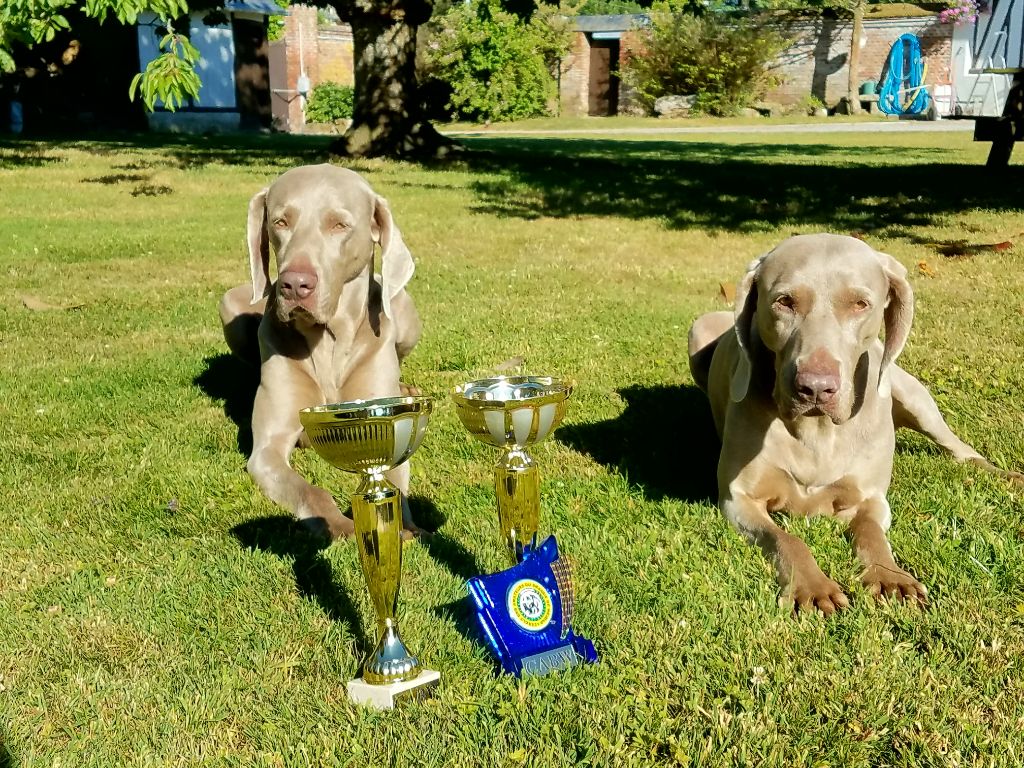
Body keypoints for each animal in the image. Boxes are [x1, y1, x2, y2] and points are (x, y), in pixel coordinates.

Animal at [218, 162, 421, 540]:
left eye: (339, 225)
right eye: (280, 222)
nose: (295, 285)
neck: (328, 340)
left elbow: (396, 485)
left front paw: (408, 530)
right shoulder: (266, 450)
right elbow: (310, 490)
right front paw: (338, 524)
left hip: (404, 309)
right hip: (231, 306)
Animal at [692, 234, 1019, 618]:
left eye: (860, 304)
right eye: (784, 302)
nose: (815, 388)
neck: (816, 430)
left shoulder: (871, 498)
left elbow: (870, 531)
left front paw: (892, 577)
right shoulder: (739, 498)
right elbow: (787, 537)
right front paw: (813, 587)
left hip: (912, 396)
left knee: (961, 449)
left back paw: (1008, 476)